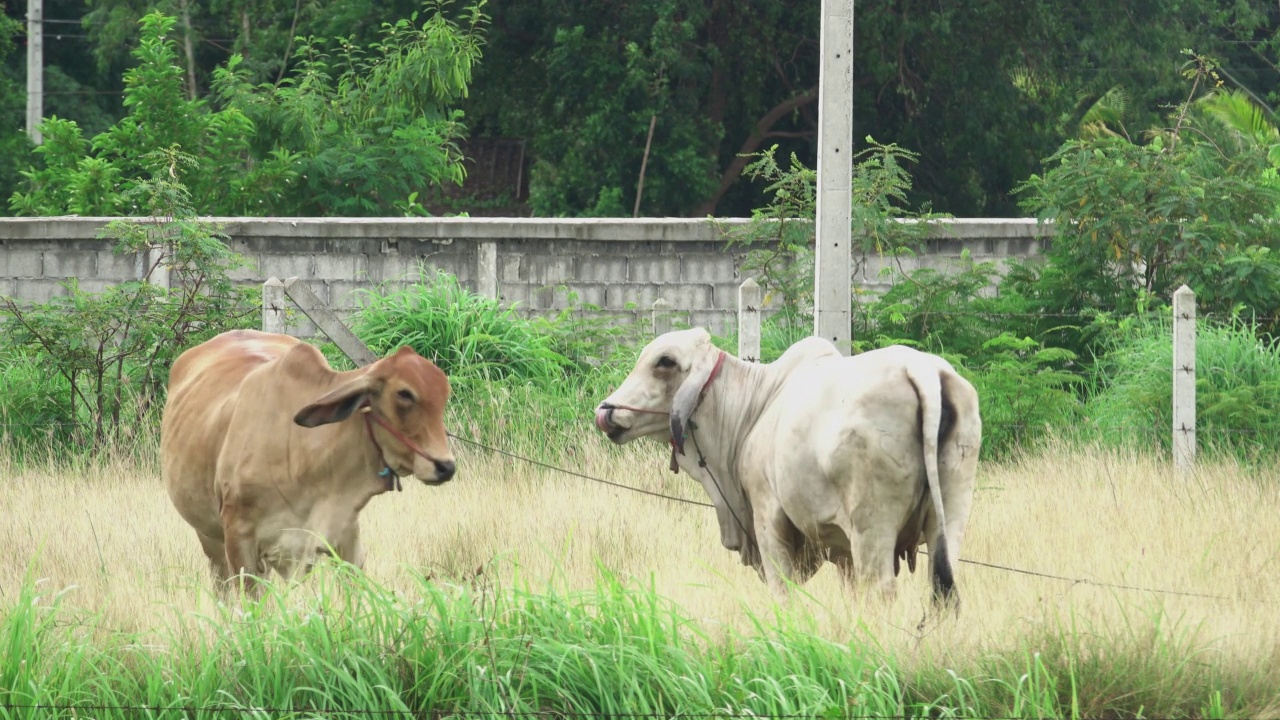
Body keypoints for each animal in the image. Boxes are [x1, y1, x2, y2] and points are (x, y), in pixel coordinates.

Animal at [162, 327, 455, 591]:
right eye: (404, 394)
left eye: (444, 395)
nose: (445, 466)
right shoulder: (239, 539)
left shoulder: (346, 535)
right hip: (210, 538)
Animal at [593, 327, 983, 602]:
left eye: (665, 362)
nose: (606, 412)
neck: (752, 406)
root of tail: (922, 370)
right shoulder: (841, 549)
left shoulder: (769, 518)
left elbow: (784, 593)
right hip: (951, 514)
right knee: (942, 588)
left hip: (872, 526)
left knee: (881, 589)